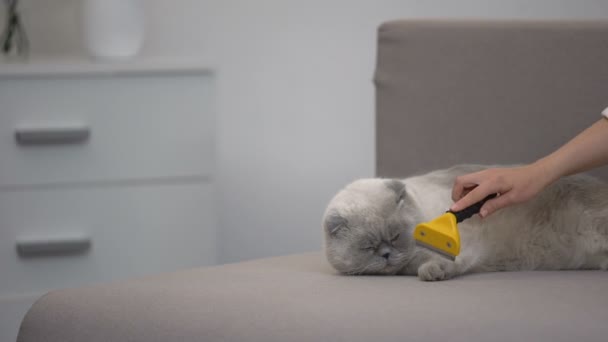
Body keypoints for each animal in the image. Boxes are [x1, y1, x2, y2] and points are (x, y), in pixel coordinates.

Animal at [324, 165, 608, 280]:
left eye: (395, 237)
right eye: (369, 247)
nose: (385, 254)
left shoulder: (464, 247)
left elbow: (442, 262)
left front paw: (432, 273)